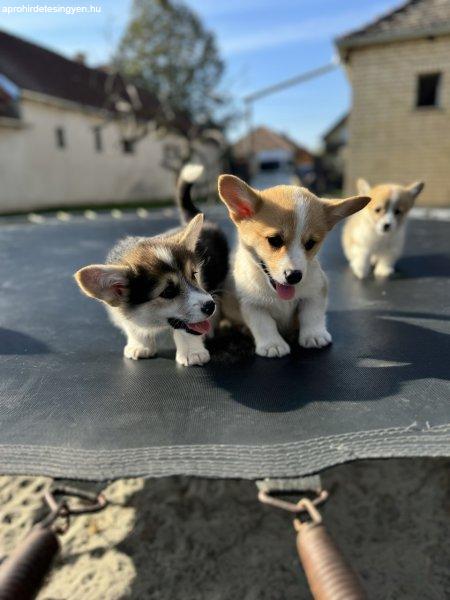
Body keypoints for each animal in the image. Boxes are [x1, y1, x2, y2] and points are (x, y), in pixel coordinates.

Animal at [74, 166, 229, 368]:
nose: (209, 306)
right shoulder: (123, 313)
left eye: (194, 275)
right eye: (168, 292)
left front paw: (193, 353)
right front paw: (140, 346)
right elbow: (134, 329)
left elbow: (186, 331)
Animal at [218, 176, 370, 358]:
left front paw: (314, 335)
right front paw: (273, 345)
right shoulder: (252, 305)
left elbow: (312, 315)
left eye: (310, 243)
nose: (294, 276)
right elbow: (264, 325)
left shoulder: (316, 291)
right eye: (274, 240)